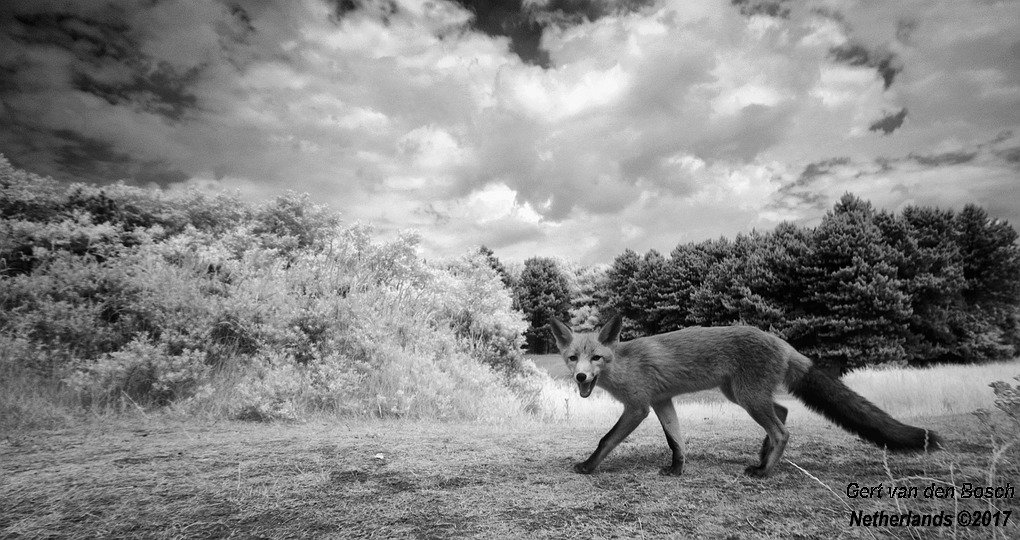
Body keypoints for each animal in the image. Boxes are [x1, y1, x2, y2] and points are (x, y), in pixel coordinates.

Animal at [549, 314, 942, 478]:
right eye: (572, 358)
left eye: (596, 358)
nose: (581, 376)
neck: (623, 363)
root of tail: (782, 342)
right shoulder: (662, 401)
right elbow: (677, 441)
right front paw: (677, 470)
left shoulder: (638, 406)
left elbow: (606, 440)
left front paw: (588, 467)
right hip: (741, 394)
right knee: (782, 413)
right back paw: (763, 457)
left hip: (747, 397)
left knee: (782, 429)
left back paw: (765, 471)